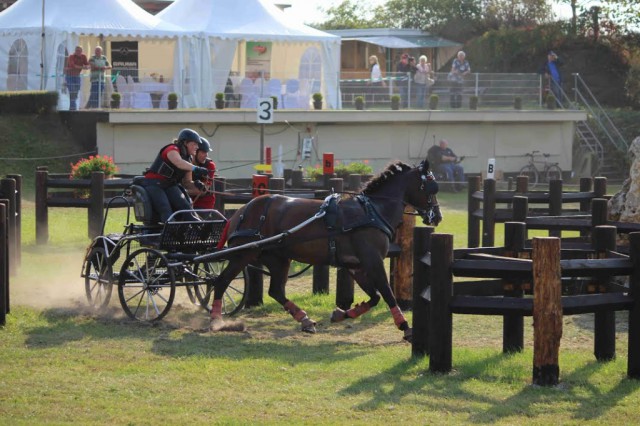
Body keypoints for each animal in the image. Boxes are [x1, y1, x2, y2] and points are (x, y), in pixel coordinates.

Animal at [205, 158, 440, 342]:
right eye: (431, 187)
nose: (437, 216)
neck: (372, 212)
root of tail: (241, 212)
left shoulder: (356, 265)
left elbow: (374, 297)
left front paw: (341, 314)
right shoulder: (372, 261)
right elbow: (387, 294)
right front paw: (406, 328)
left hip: (278, 258)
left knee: (276, 291)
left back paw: (305, 320)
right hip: (243, 254)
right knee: (222, 281)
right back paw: (216, 320)